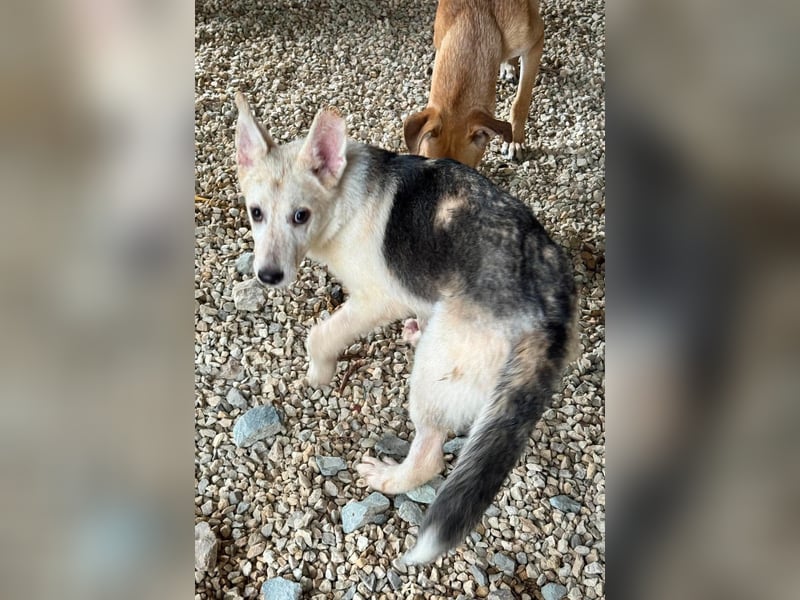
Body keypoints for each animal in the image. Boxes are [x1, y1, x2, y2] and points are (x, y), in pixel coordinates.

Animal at [234, 92, 577, 565]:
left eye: (300, 216)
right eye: (256, 214)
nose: (267, 276)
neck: (344, 196)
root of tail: (547, 305)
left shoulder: (376, 300)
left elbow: (320, 335)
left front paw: (319, 374)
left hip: (434, 371)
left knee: (430, 455)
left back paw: (389, 478)